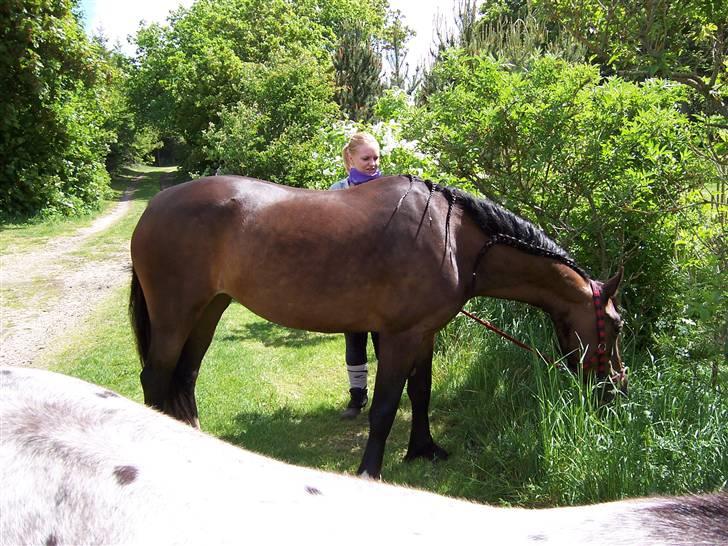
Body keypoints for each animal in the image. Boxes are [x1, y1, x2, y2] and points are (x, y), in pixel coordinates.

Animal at [129, 174, 624, 476]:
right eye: (617, 325)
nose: (617, 387)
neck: (453, 239)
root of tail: (155, 207)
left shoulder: (424, 333)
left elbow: (420, 393)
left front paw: (423, 449)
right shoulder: (399, 337)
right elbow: (385, 407)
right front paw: (371, 470)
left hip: (208, 310)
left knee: (185, 376)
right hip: (175, 315)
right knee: (156, 377)